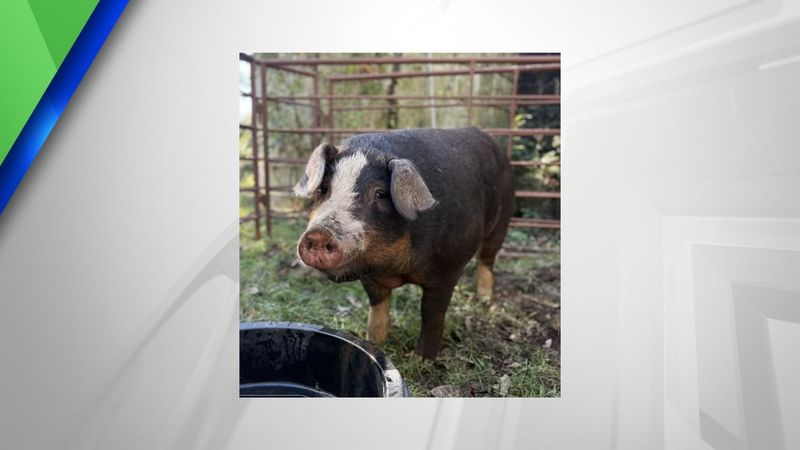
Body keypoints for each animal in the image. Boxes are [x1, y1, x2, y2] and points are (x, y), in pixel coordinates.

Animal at [293, 127, 514, 359]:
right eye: (324, 189)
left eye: (380, 193)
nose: (319, 234)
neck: (397, 269)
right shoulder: (370, 276)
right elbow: (378, 308)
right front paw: (375, 342)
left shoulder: (448, 269)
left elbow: (432, 315)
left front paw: (423, 359)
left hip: (502, 220)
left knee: (486, 260)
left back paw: (484, 300)